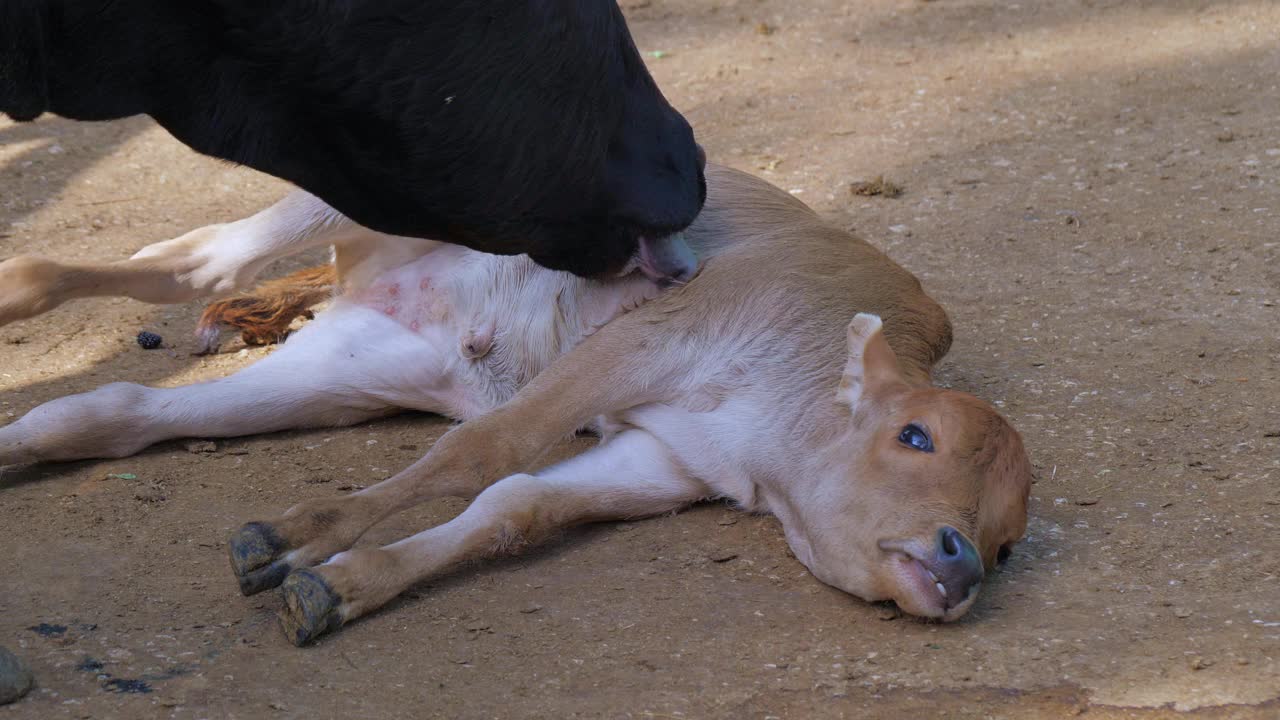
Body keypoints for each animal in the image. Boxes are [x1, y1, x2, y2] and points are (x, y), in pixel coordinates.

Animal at [0, 163, 1029, 645]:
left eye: (1010, 541)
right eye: (915, 434)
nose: (961, 558)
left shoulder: (669, 461)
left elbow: (514, 506)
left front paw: (343, 583)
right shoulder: (656, 335)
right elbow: (488, 448)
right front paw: (298, 537)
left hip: (350, 369)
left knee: (118, 408)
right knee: (199, 259)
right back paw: (19, 285)